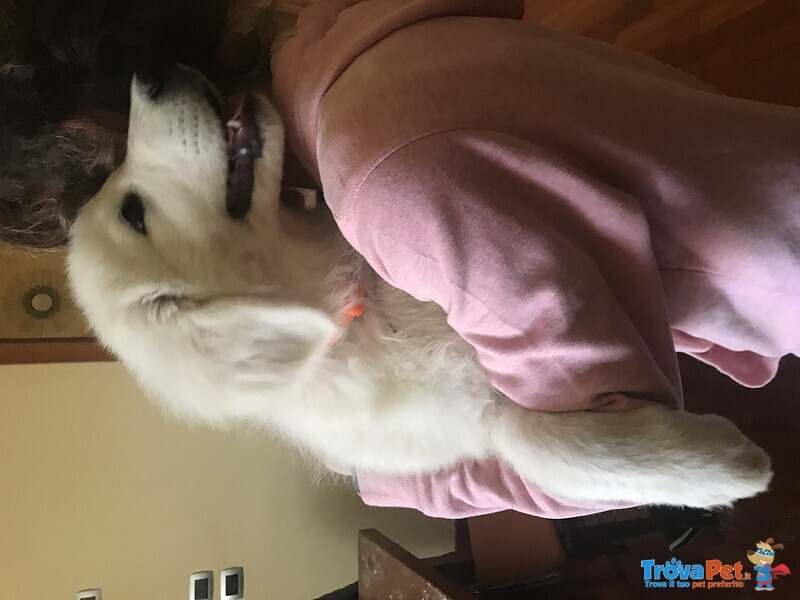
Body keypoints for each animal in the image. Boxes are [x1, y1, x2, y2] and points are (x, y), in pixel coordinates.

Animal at [67, 68, 768, 508]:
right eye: (133, 212)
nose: (151, 75)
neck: (353, 306)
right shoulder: (469, 418)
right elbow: (534, 441)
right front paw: (727, 468)